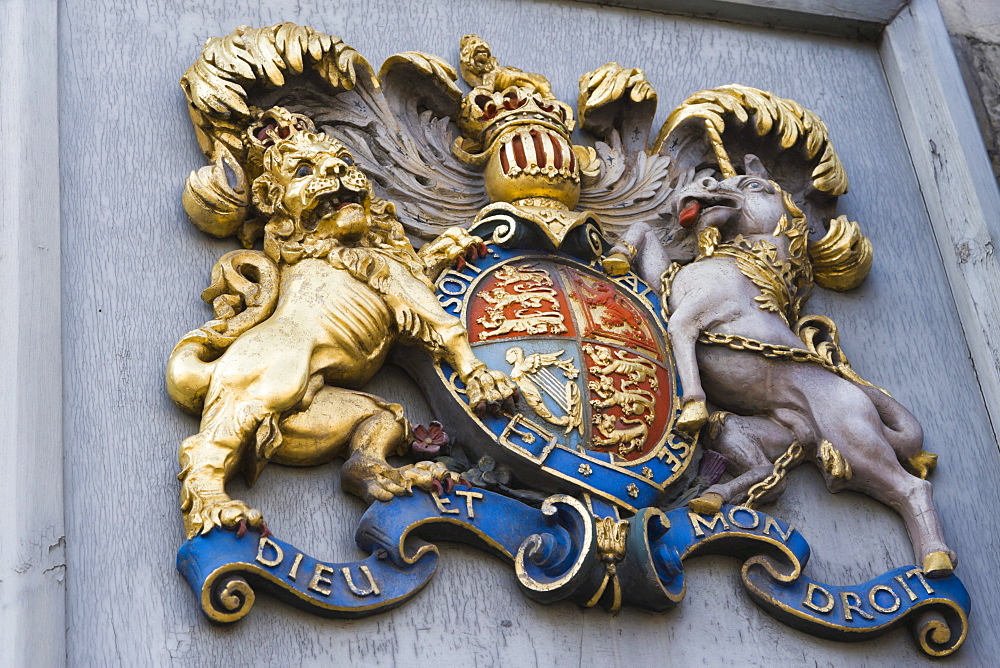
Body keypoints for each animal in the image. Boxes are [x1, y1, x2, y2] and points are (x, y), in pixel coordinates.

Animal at [167, 129, 512, 536]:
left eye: (344, 158)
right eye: (303, 169)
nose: (338, 170)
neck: (340, 237)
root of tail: (215, 368)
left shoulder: (403, 264)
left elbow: (426, 258)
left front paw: (458, 242)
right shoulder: (396, 279)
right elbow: (449, 327)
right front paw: (486, 383)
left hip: (323, 417)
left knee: (360, 454)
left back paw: (406, 477)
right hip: (260, 395)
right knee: (199, 448)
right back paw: (222, 511)